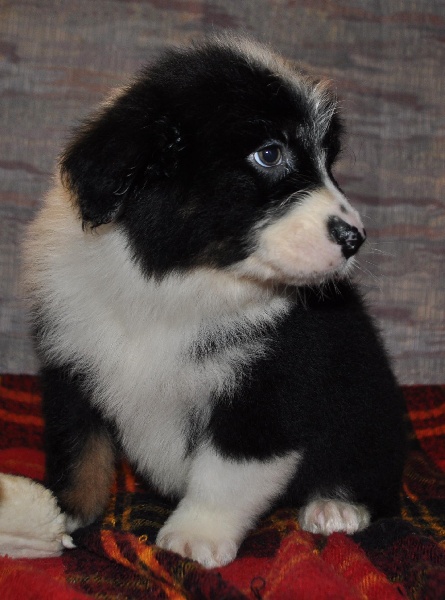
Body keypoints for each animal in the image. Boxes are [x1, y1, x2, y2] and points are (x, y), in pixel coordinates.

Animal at [24, 35, 406, 568]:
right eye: (269, 154)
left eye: (328, 162)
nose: (356, 238)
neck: (178, 281)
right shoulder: (71, 359)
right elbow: (80, 449)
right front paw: (66, 516)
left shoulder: (273, 383)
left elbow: (227, 471)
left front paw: (194, 538)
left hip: (372, 405)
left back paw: (336, 507)